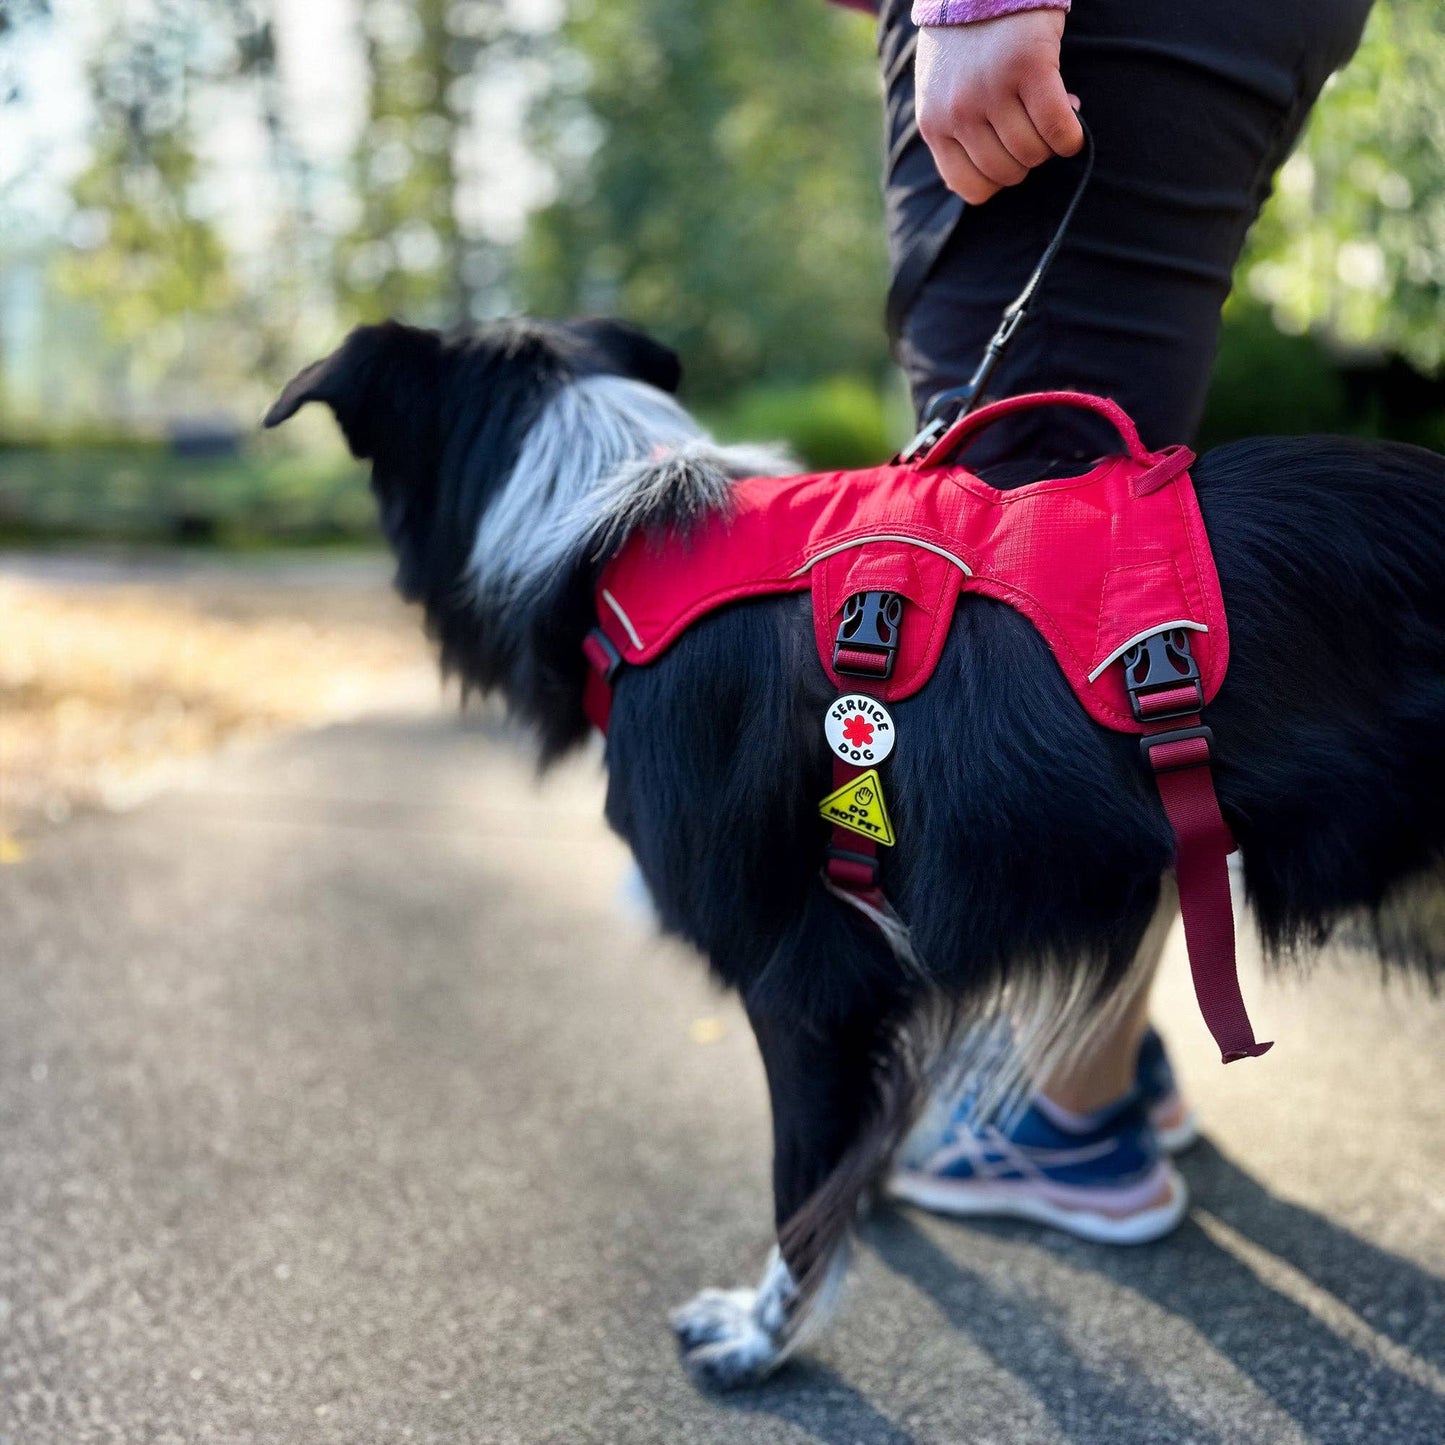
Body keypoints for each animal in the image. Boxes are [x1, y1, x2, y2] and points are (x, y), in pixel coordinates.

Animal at [262, 319, 1445, 1387]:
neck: (616, 549)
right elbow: (846, 1151)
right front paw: (866, 1206)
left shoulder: (806, 982)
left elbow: (795, 1190)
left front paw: (762, 1335)